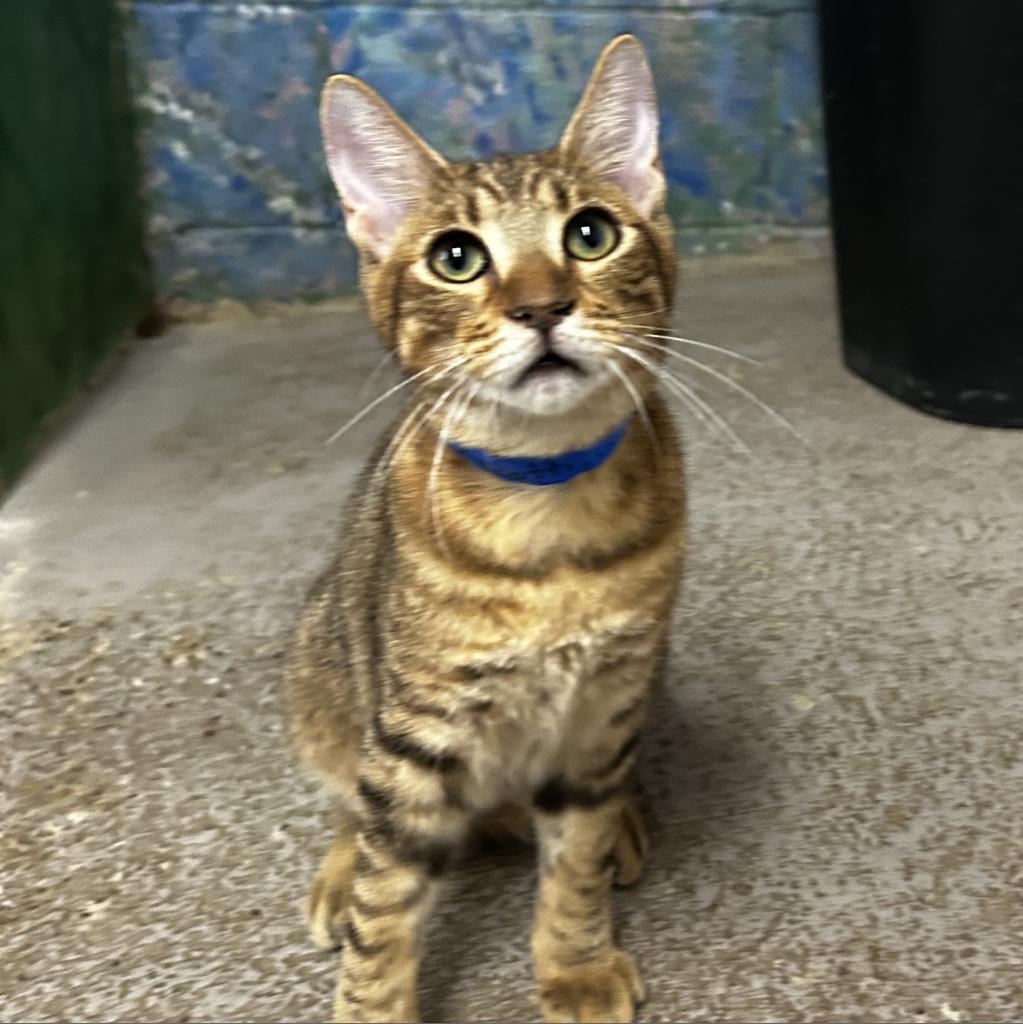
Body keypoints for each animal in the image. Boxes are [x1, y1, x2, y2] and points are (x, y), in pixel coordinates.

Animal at [288, 34, 684, 1024]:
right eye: (457, 257)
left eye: (590, 234)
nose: (540, 307)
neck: (548, 515)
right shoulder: (415, 734)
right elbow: (385, 904)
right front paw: (371, 1004)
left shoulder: (599, 712)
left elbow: (572, 860)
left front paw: (573, 963)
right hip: (323, 667)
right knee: (353, 804)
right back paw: (339, 869)